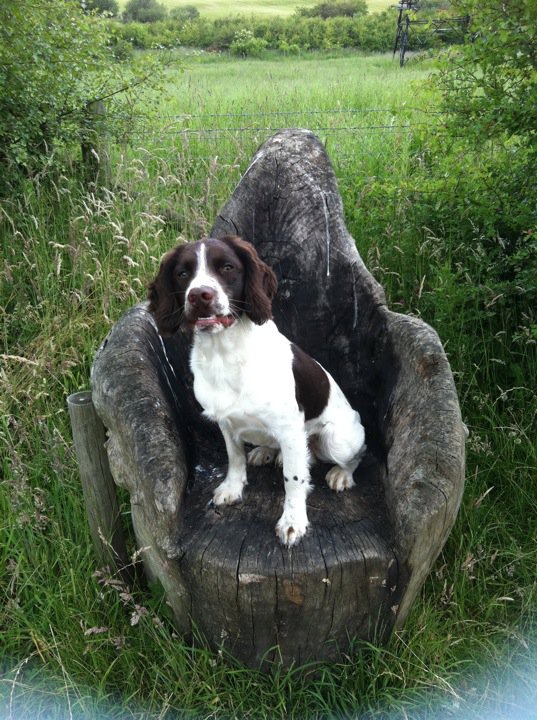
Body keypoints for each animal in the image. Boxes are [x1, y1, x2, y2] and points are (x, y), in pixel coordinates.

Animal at [147, 236, 364, 544]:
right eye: (182, 273)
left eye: (227, 267)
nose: (199, 295)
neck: (225, 354)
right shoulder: (225, 422)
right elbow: (234, 457)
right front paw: (232, 488)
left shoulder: (290, 428)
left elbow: (293, 479)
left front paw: (293, 520)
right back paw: (267, 451)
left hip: (338, 438)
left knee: (356, 454)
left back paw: (341, 474)